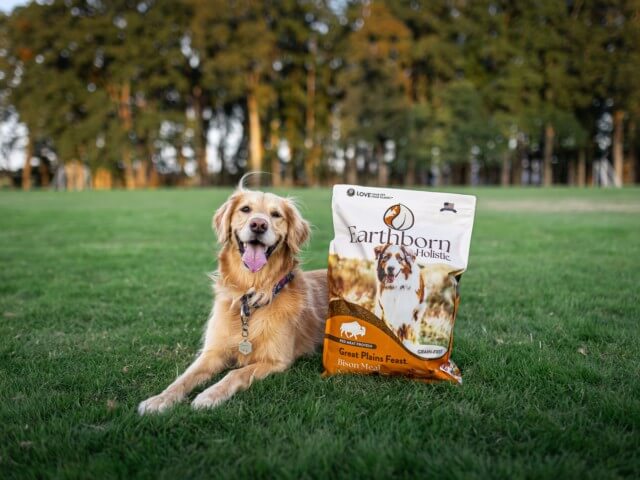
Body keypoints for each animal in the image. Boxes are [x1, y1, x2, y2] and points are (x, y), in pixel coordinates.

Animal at [141, 184, 330, 412]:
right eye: (245, 209)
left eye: (276, 215)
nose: (259, 225)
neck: (250, 295)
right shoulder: (212, 352)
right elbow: (184, 378)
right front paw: (159, 399)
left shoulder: (276, 360)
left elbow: (236, 373)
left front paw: (210, 395)